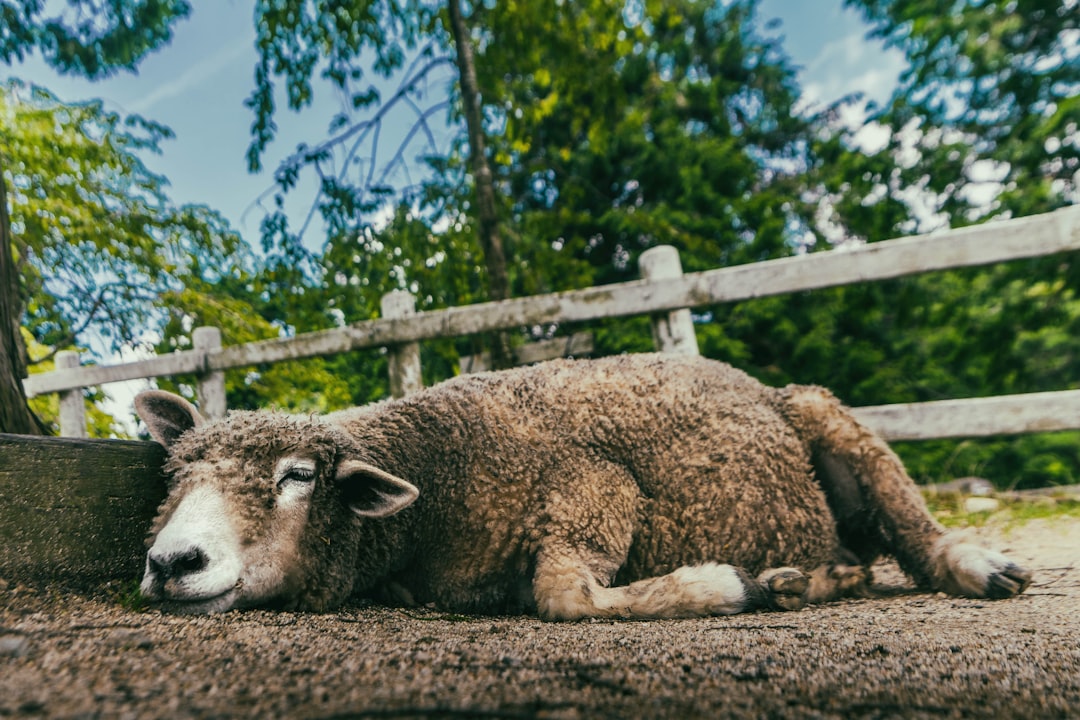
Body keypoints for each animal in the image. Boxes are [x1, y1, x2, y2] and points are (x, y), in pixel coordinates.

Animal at [132, 354, 1028, 621]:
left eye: (297, 477)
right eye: (176, 476)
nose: (173, 562)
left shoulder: (591, 486)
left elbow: (564, 595)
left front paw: (725, 583)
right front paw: (754, 582)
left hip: (832, 419)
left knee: (918, 536)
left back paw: (982, 568)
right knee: (865, 561)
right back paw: (812, 578)